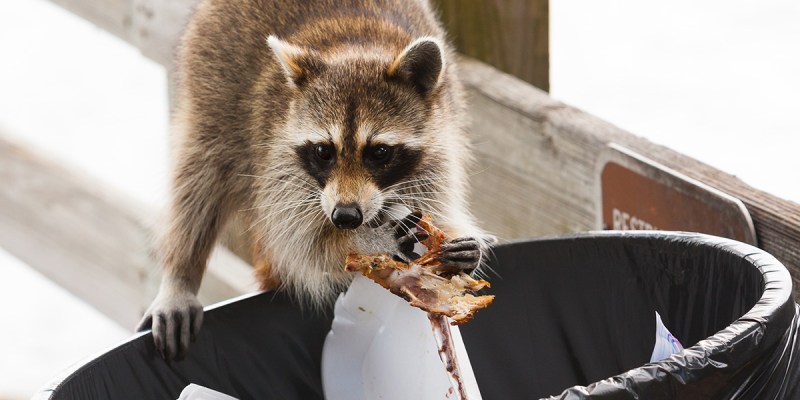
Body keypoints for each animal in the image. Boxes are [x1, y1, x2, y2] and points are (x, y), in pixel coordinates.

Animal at [137, 0, 489, 361]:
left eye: (379, 152)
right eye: (324, 151)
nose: (345, 217)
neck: (358, 47)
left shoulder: (438, 152)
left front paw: (463, 248)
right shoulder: (277, 161)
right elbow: (302, 247)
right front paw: (369, 242)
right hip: (212, 86)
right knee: (200, 174)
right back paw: (181, 274)